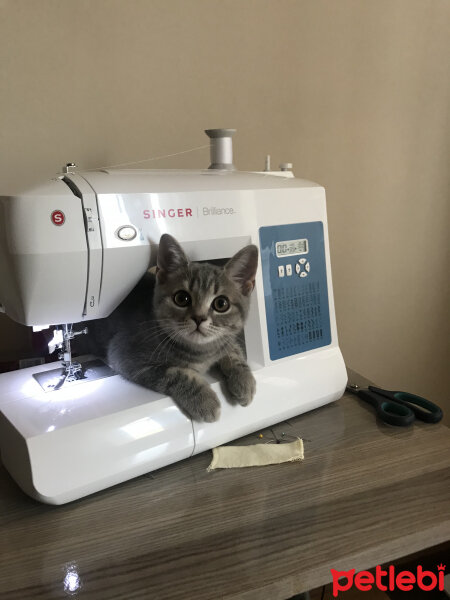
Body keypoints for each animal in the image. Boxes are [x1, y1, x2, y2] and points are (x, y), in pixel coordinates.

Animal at [83, 234, 258, 422]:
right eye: (181, 298)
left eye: (221, 304)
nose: (199, 318)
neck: (201, 352)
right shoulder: (125, 356)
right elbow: (176, 372)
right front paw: (204, 399)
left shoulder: (224, 341)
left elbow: (234, 351)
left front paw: (244, 381)